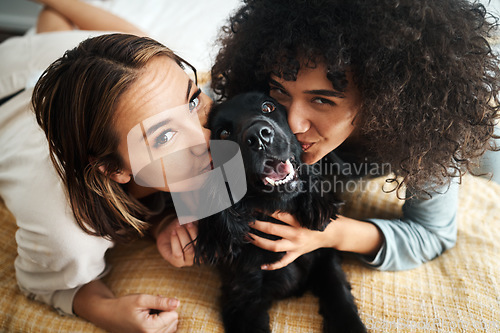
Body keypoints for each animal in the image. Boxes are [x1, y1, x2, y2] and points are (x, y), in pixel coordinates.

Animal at [196, 91, 368, 332]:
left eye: (268, 106)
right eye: (223, 133)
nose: (259, 136)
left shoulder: (324, 256)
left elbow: (339, 296)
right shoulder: (243, 298)